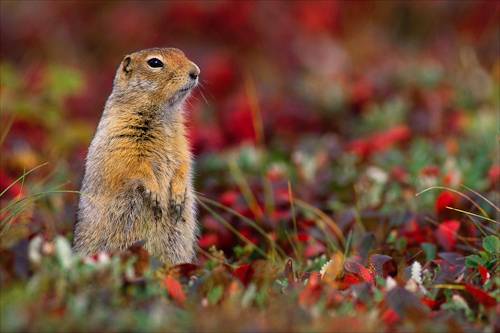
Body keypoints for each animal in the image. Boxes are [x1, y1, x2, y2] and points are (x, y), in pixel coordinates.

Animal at [74, 47, 199, 264]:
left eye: (182, 53)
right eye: (155, 63)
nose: (196, 72)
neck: (165, 115)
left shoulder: (181, 142)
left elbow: (183, 163)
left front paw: (177, 195)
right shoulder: (123, 137)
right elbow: (134, 165)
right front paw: (155, 194)